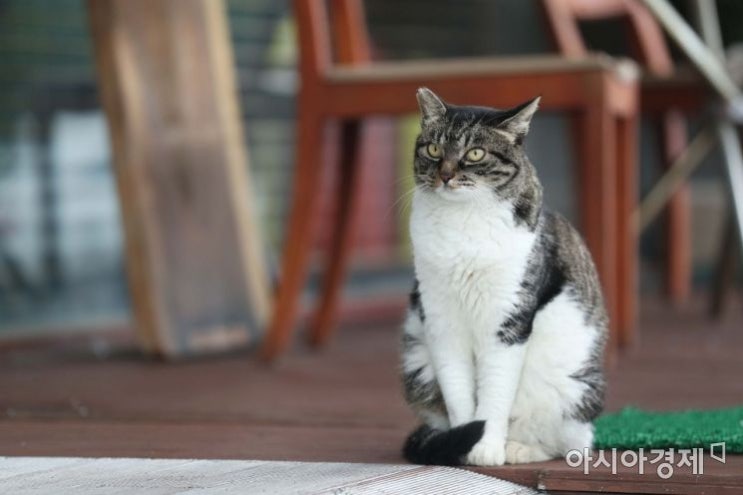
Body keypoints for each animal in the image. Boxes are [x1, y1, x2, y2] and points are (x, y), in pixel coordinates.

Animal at [402, 88, 612, 464]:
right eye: (434, 149)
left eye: (475, 153)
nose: (445, 175)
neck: (462, 220)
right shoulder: (440, 320)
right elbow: (457, 390)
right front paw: (463, 442)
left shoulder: (508, 320)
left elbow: (496, 389)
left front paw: (486, 447)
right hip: (418, 363)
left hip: (569, 386)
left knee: (571, 443)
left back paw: (518, 448)